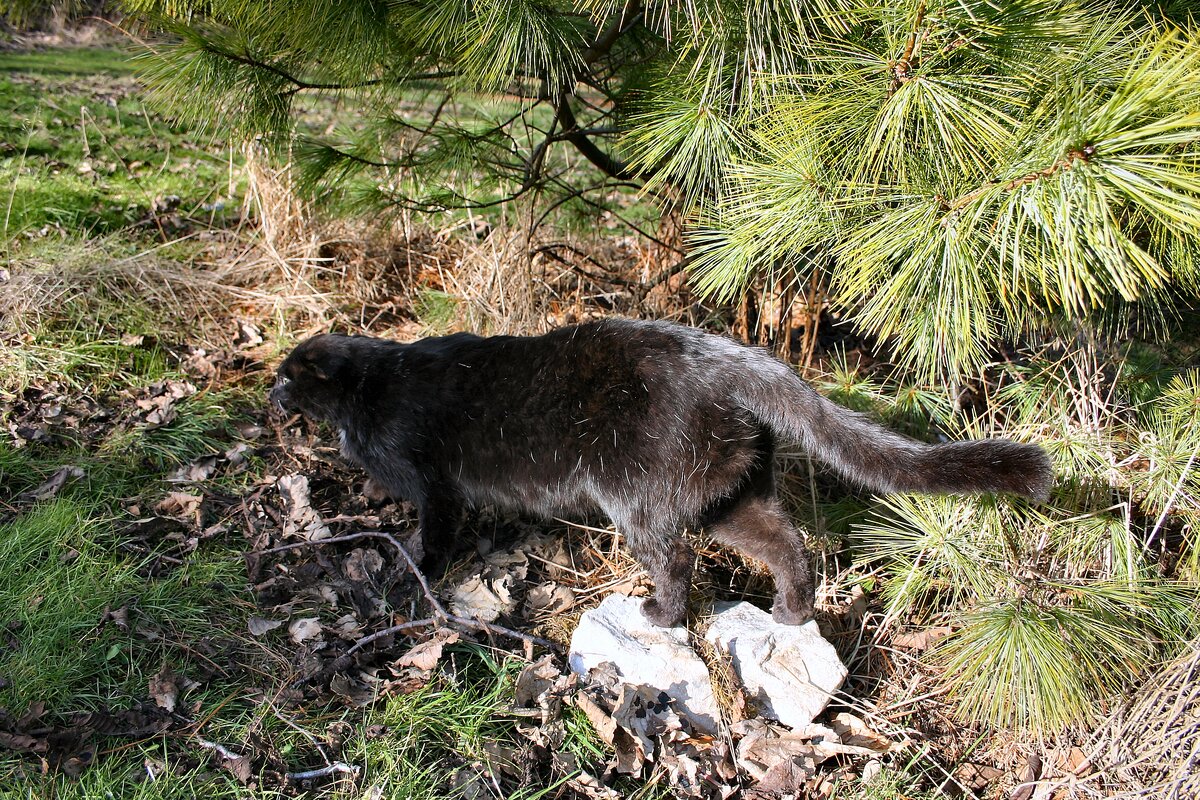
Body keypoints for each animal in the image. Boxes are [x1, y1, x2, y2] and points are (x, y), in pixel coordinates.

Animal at [270, 316, 1051, 623]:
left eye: (285, 377)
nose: (270, 395)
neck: (371, 390)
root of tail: (729, 357)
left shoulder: (430, 483)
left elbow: (432, 536)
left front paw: (409, 580)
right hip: (729, 489)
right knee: (786, 543)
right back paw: (792, 613)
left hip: (639, 494)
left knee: (677, 562)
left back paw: (659, 615)